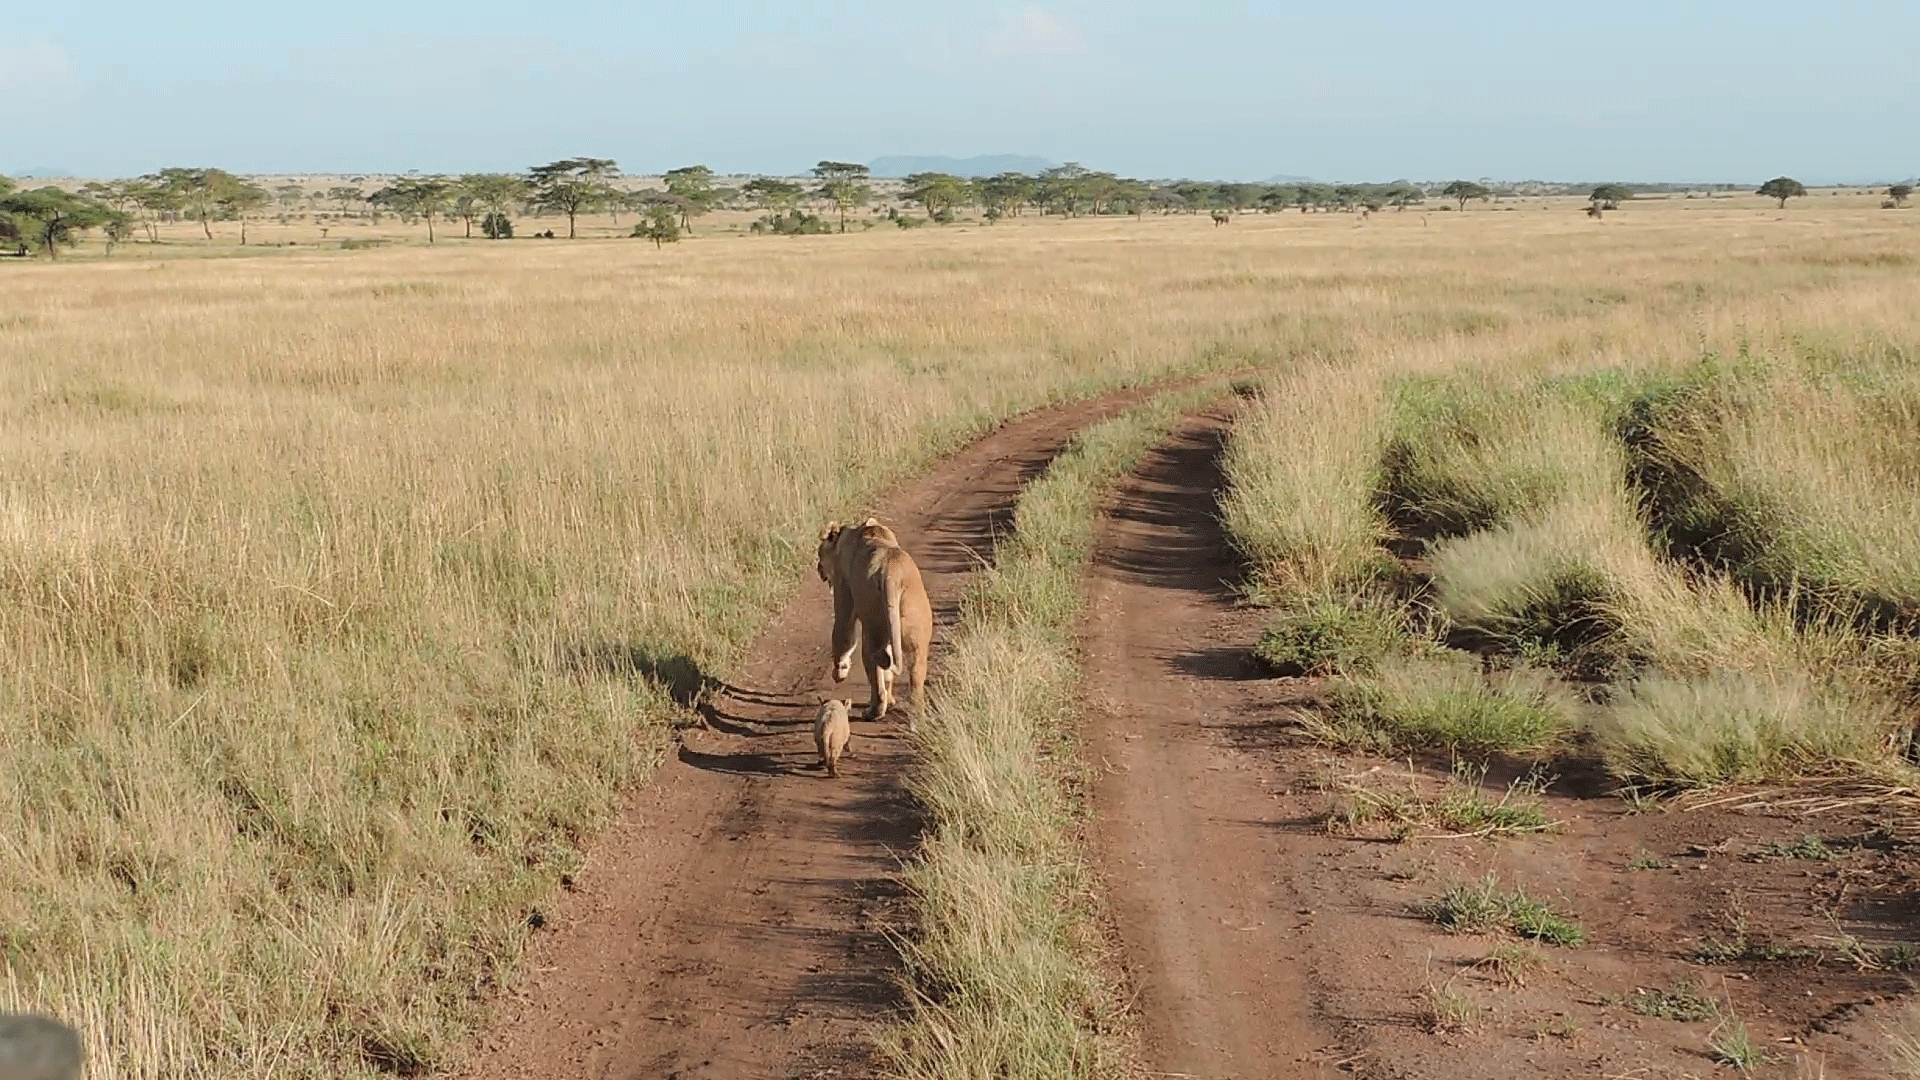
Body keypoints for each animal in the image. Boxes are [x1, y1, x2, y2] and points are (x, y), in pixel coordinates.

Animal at [814, 515, 933, 730]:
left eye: (820, 553)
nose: (818, 567)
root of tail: (892, 575)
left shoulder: (843, 589)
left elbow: (843, 635)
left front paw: (839, 672)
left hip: (872, 627)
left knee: (875, 670)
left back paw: (873, 712)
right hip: (916, 632)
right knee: (913, 677)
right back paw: (915, 720)